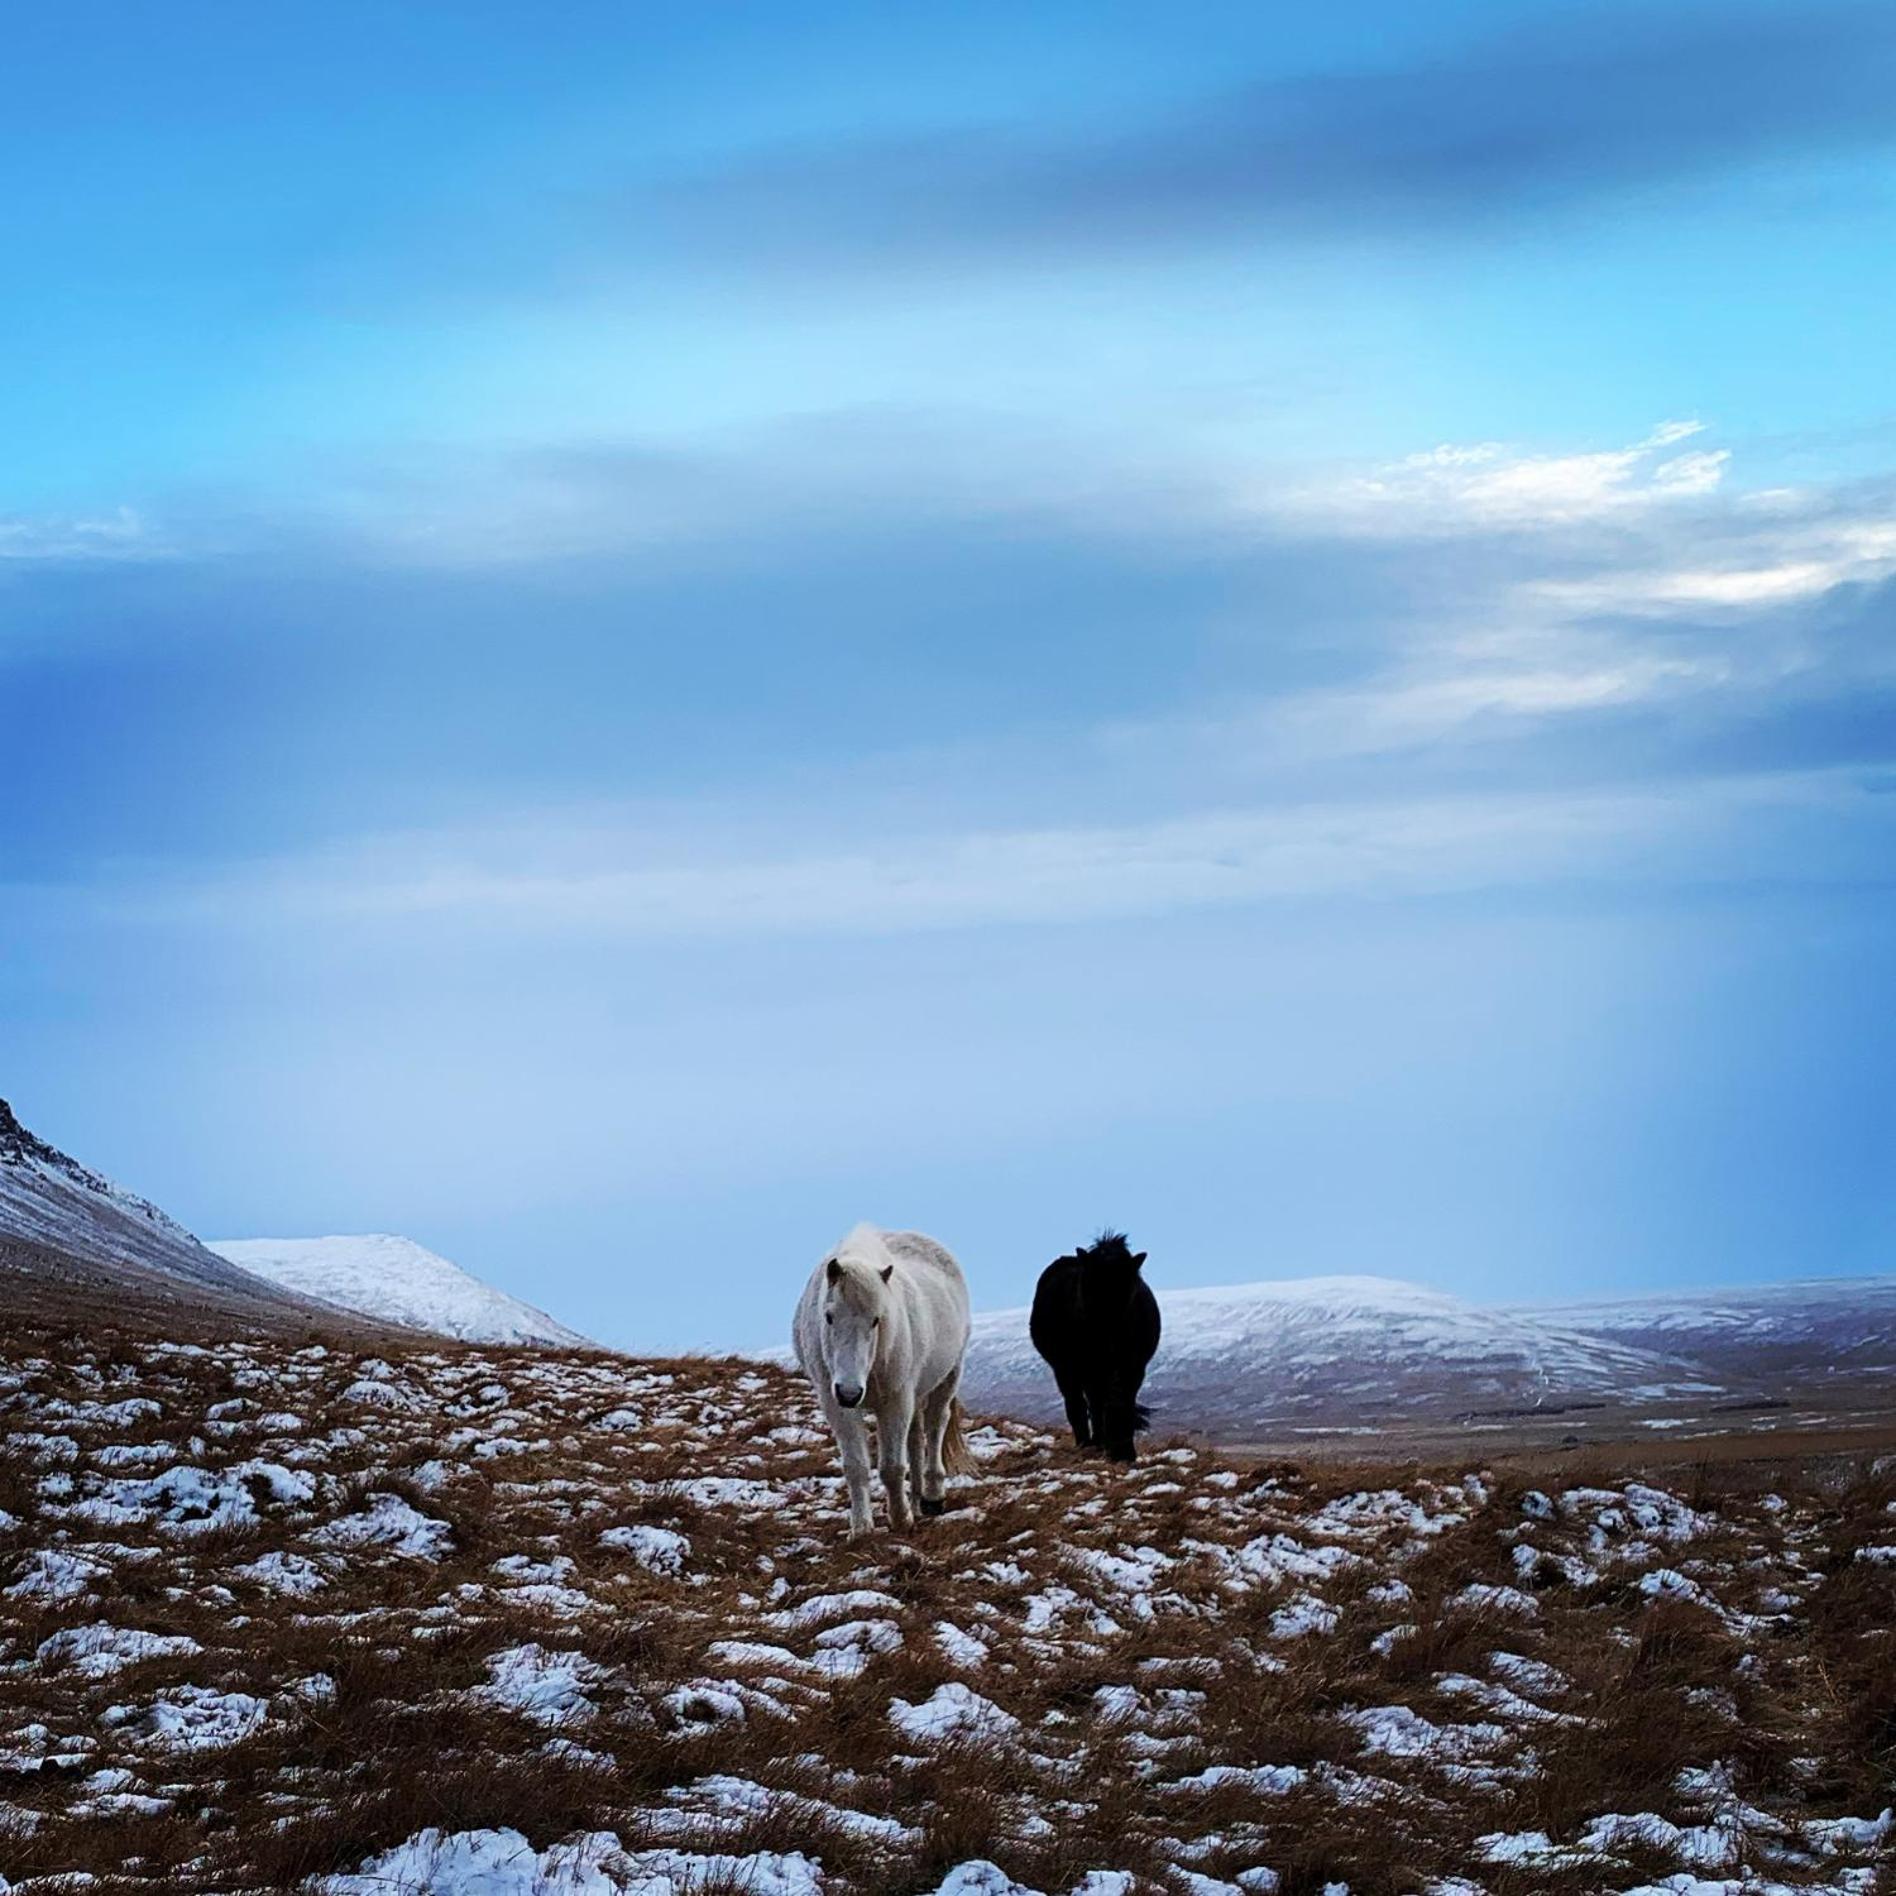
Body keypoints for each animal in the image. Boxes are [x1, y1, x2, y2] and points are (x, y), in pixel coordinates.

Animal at [796, 1221, 978, 1531]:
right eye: (829, 1316)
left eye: (876, 1320)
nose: (850, 1392)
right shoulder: (836, 1405)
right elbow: (856, 1466)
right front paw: (861, 1528)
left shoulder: (895, 1400)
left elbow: (892, 1467)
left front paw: (900, 1519)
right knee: (916, 1437)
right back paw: (917, 1500)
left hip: (949, 1375)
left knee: (935, 1426)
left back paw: (932, 1497)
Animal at [1031, 1236, 1160, 1456]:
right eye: (1089, 1286)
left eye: (1127, 1287)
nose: (1110, 1335)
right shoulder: (1070, 1367)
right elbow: (1082, 1405)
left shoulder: (1133, 1367)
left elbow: (1124, 1402)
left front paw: (1125, 1450)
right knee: (1084, 1403)